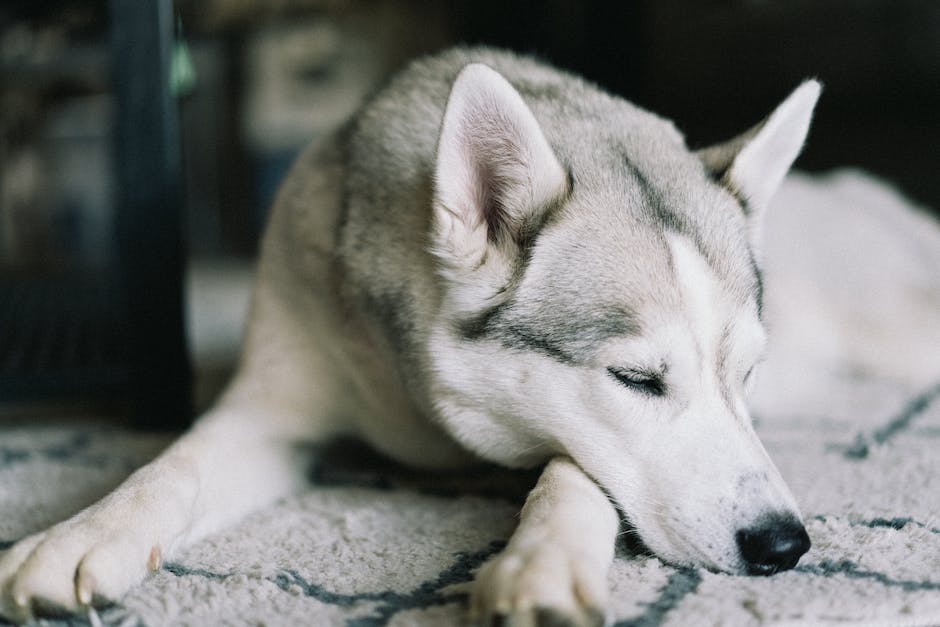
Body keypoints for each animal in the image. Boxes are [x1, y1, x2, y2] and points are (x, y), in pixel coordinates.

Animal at [0, 47, 824, 624]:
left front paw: (545, 560)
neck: (421, 408)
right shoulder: (272, 410)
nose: (784, 543)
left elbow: (574, 472)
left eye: (746, 373)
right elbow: (170, 470)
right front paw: (79, 535)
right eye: (637, 380)